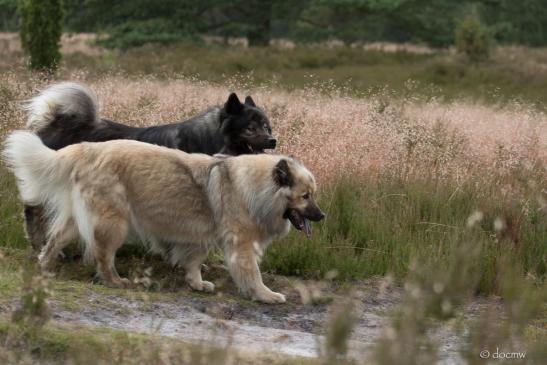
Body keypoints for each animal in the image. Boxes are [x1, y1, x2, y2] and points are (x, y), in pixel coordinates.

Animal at [22, 81, 278, 249]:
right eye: (250, 128)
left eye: (267, 127)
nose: (273, 140)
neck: (210, 139)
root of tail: (56, 122)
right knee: (33, 213)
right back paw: (38, 244)